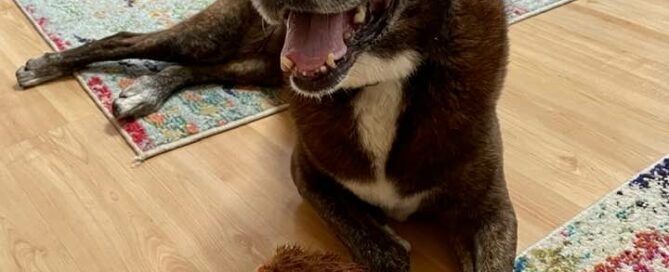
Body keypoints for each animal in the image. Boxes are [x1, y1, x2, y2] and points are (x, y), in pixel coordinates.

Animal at [15, 0, 516, 270]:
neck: (383, 77)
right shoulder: (307, 175)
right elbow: (382, 250)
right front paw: (388, 243)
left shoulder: (492, 213)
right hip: (217, 37)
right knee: (126, 38)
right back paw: (47, 65)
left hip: (257, 65)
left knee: (200, 69)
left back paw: (147, 89)